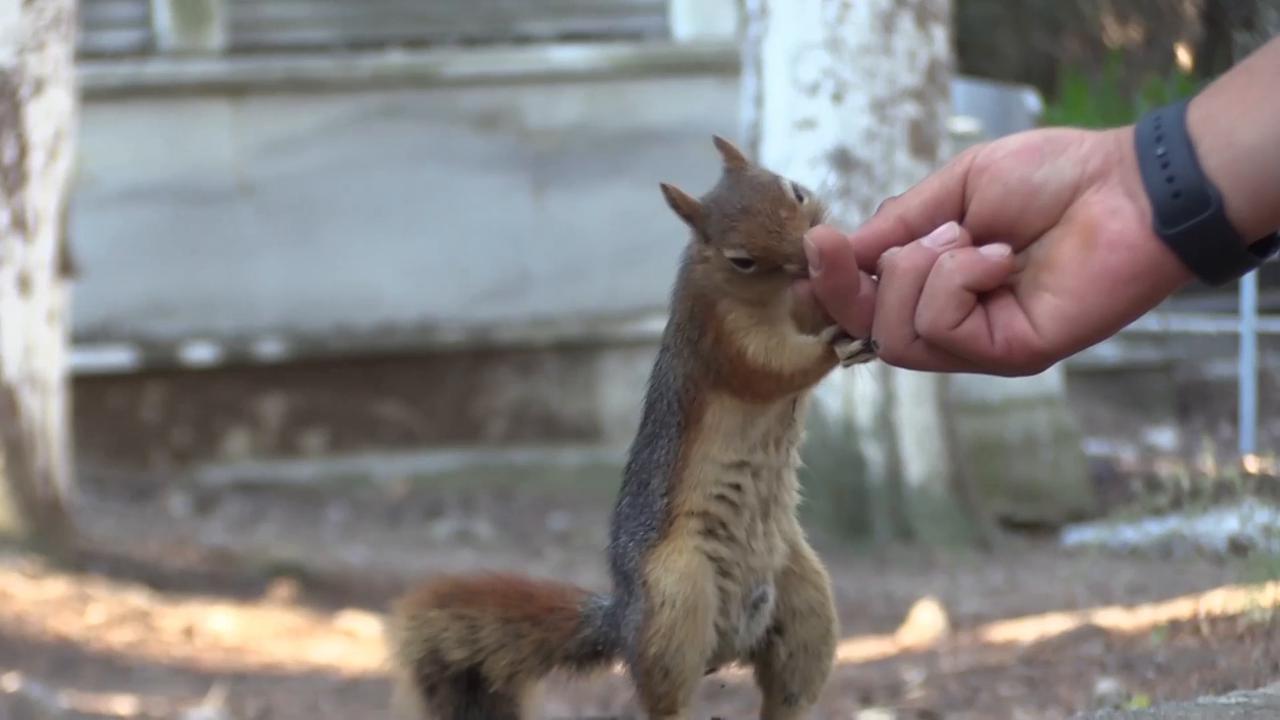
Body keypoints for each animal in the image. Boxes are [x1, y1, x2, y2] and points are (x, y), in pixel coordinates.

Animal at [386, 135, 876, 720]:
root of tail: (623, 622)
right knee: (668, 694)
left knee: (791, 686)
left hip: (804, 598)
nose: (809, 252)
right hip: (676, 597)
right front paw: (831, 345)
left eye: (795, 192)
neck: (773, 295)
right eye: (742, 259)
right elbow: (773, 366)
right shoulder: (720, 338)